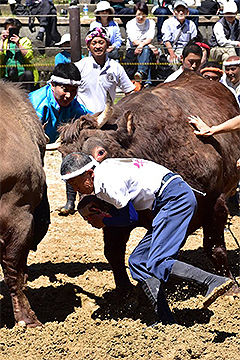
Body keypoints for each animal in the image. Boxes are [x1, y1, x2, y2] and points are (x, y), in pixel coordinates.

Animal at [58, 71, 240, 294]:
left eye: (100, 151)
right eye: (64, 161)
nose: (87, 206)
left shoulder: (215, 201)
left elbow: (215, 247)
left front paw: (230, 287)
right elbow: (114, 251)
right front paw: (125, 292)